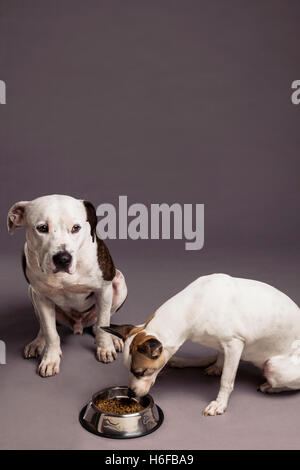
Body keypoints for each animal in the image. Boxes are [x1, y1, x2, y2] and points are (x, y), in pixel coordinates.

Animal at [7, 195, 126, 378]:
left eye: (76, 228)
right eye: (42, 228)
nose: (63, 258)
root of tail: (78, 325)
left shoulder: (104, 289)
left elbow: (103, 321)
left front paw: (105, 347)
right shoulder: (41, 297)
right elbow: (50, 332)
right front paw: (50, 359)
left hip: (119, 281)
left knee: (99, 323)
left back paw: (112, 337)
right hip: (32, 293)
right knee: (44, 326)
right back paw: (38, 342)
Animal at [103, 274, 300, 416]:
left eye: (142, 372)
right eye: (128, 369)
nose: (130, 393)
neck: (194, 304)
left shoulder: (234, 344)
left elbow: (226, 380)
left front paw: (220, 403)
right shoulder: (227, 347)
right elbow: (221, 359)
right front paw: (216, 366)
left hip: (272, 367)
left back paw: (270, 387)